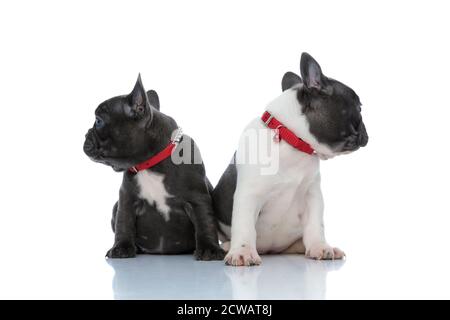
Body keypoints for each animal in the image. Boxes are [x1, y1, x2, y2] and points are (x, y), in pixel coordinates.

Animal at [83, 74, 224, 260]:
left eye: (98, 121)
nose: (85, 134)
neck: (150, 164)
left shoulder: (197, 199)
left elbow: (205, 222)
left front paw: (209, 249)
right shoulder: (127, 199)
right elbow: (124, 222)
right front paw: (121, 247)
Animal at [213, 52, 368, 266]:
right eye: (359, 109)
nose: (366, 133)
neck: (293, 142)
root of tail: (269, 249)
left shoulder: (312, 196)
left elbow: (315, 225)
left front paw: (320, 246)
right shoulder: (249, 195)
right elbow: (244, 226)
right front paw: (243, 252)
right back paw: (227, 246)